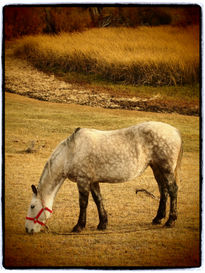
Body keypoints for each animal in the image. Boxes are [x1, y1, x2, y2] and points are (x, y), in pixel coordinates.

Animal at [25, 121, 183, 234]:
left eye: (32, 206)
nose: (28, 229)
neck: (71, 152)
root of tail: (175, 131)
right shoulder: (93, 181)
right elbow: (98, 200)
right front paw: (102, 223)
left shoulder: (83, 181)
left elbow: (83, 203)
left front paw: (79, 226)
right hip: (156, 168)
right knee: (163, 190)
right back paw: (158, 218)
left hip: (166, 169)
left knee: (172, 190)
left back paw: (170, 221)